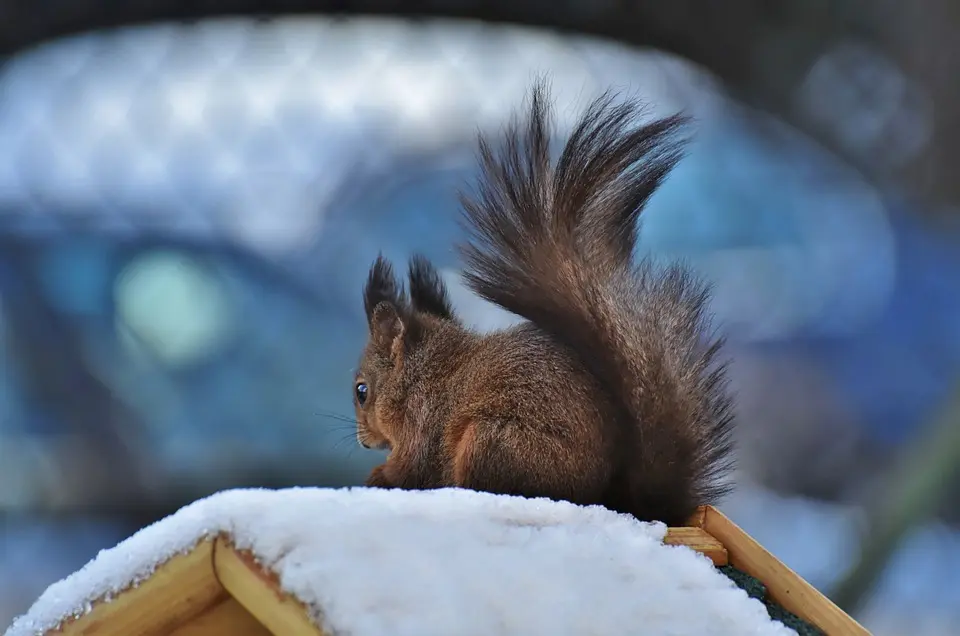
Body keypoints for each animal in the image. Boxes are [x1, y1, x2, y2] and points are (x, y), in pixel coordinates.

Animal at [352, 80, 736, 528]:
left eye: (362, 391)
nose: (364, 441)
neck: (419, 372)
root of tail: (615, 499)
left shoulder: (422, 423)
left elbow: (411, 468)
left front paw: (379, 476)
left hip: (492, 441)